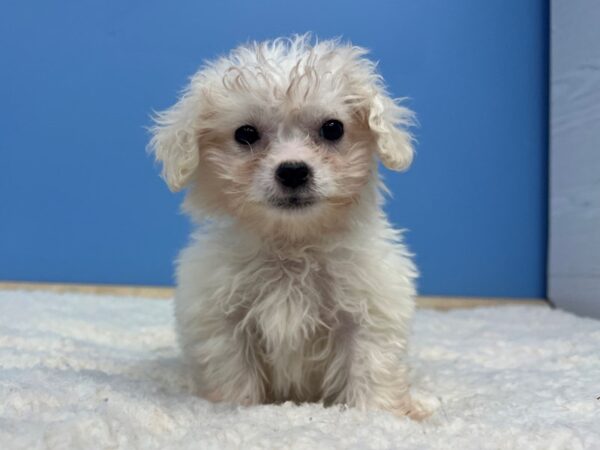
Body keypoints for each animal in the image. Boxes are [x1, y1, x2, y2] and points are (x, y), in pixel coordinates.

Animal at [148, 35, 426, 418]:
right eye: (246, 134)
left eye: (333, 128)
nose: (293, 171)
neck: (292, 245)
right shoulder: (222, 320)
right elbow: (232, 373)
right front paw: (236, 408)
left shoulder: (370, 312)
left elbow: (371, 369)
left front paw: (377, 414)